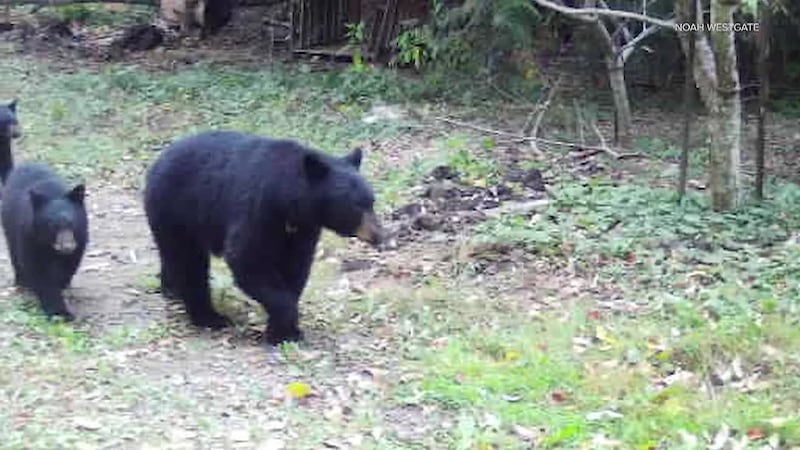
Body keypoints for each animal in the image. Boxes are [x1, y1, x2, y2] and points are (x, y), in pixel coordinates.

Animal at [1, 162, 89, 321]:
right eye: (52, 225)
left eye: (72, 223)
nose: (67, 246)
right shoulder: (29, 237)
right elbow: (39, 273)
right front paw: (59, 312)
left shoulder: (80, 238)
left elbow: (69, 266)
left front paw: (62, 285)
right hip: (8, 225)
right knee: (14, 253)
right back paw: (22, 282)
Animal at [143, 130, 385, 345]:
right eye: (356, 205)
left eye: (372, 201)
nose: (379, 235)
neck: (288, 203)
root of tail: (159, 160)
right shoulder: (258, 210)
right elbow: (247, 260)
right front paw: (283, 330)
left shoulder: (303, 230)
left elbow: (296, 267)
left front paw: (286, 330)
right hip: (177, 209)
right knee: (189, 262)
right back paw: (209, 317)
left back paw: (172, 290)